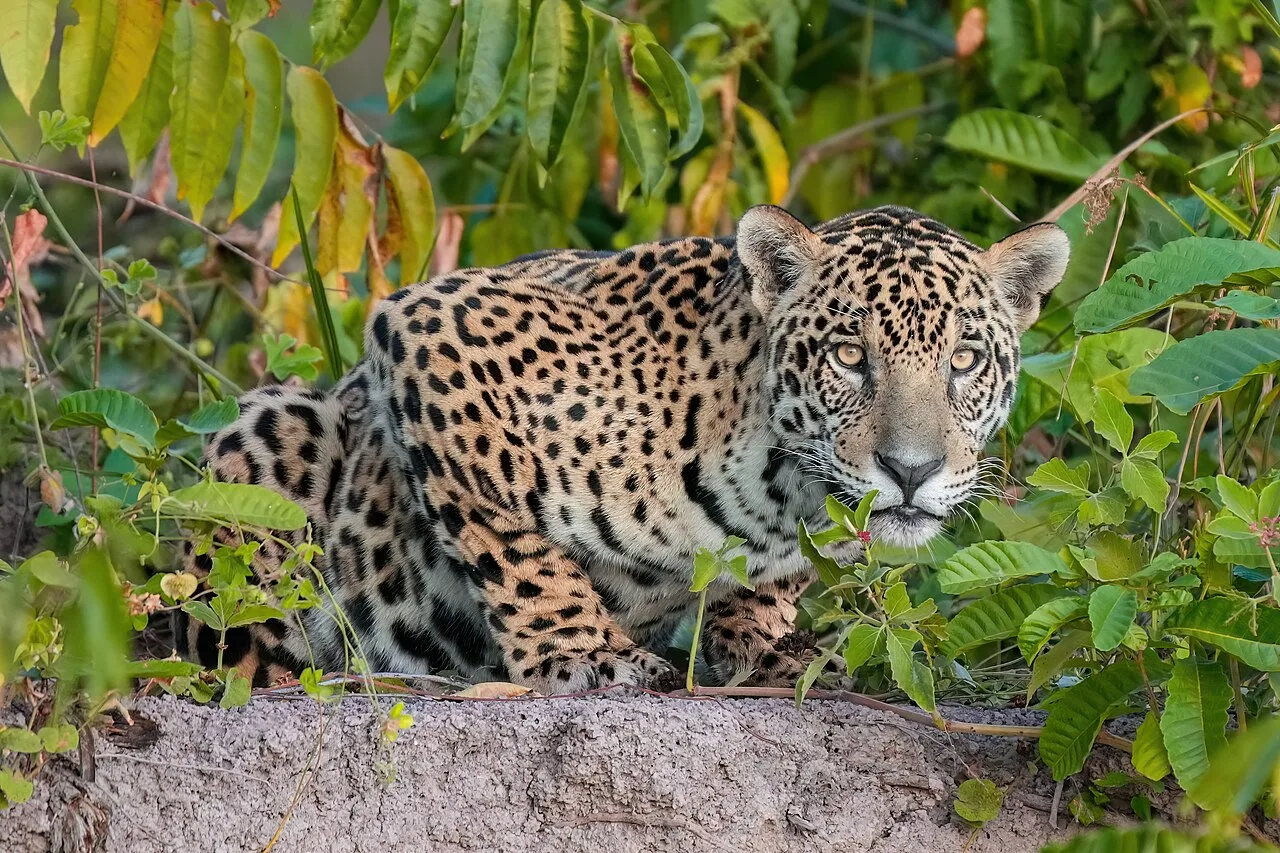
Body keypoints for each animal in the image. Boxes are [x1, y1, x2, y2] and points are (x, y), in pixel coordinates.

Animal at [175, 204, 1070, 694]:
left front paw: (765, 640)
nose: (911, 471)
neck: (779, 485)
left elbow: (772, 588)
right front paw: (583, 653)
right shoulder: (434, 326)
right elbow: (512, 544)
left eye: (965, 360)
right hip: (271, 425)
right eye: (850, 355)